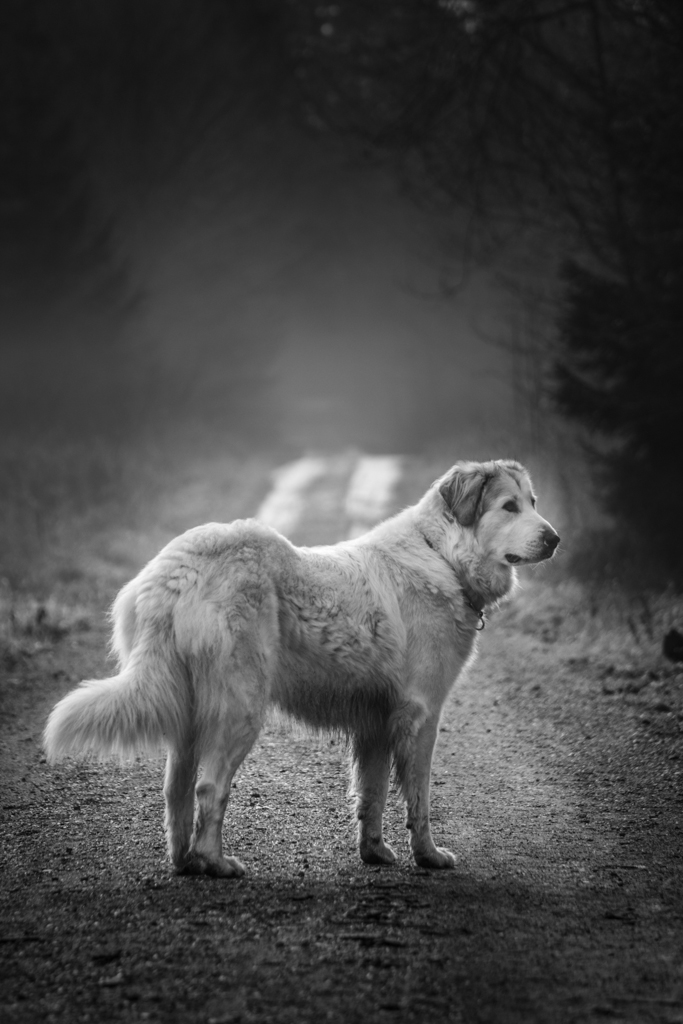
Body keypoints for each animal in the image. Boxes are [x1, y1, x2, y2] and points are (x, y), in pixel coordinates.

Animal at [44, 460, 561, 876]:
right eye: (509, 507)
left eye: (534, 503)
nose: (555, 538)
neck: (442, 555)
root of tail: (177, 570)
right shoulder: (421, 715)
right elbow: (419, 798)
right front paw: (428, 856)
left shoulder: (375, 723)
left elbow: (372, 794)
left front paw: (374, 852)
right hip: (242, 707)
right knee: (210, 788)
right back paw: (216, 863)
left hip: (188, 712)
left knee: (176, 791)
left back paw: (186, 862)